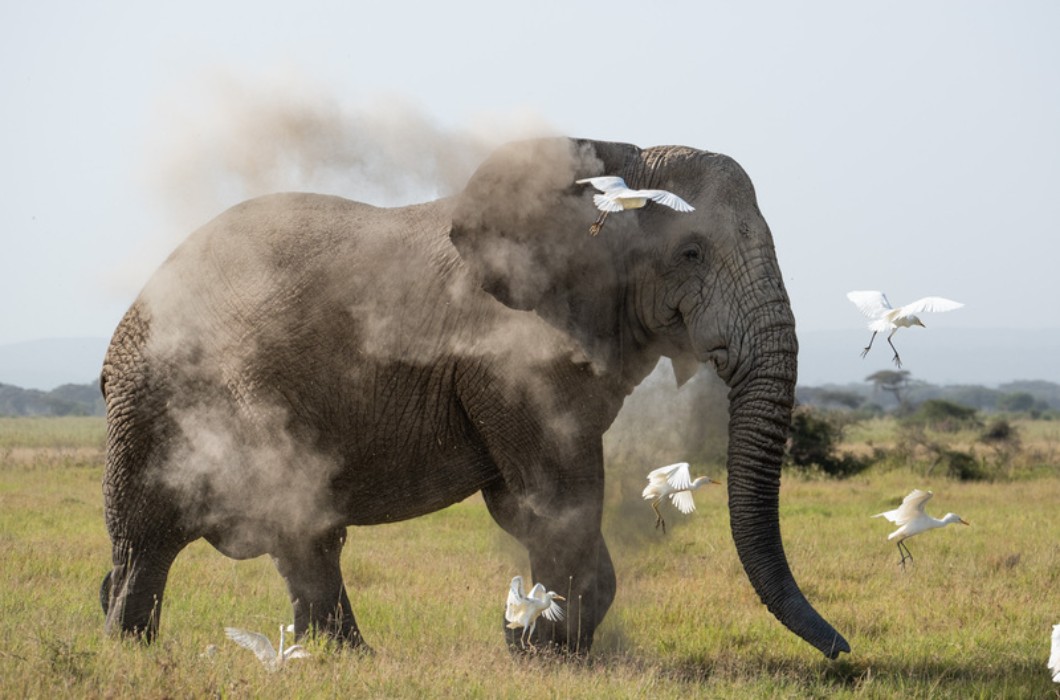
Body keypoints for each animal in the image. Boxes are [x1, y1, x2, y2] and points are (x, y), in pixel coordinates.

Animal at [101, 132, 852, 661]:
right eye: (692, 253)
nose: (843, 653)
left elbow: (522, 507)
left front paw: (533, 645)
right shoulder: (509, 358)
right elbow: (560, 499)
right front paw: (548, 657)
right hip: (162, 395)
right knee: (162, 535)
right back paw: (137, 646)